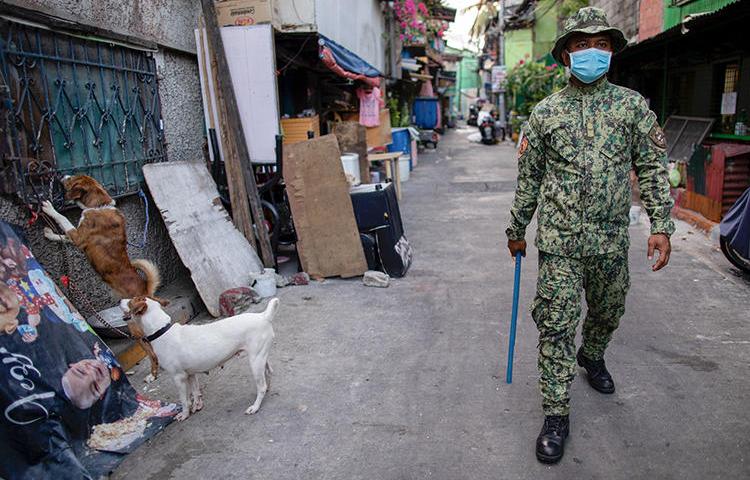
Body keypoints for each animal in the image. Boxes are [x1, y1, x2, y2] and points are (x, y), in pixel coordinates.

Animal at [41, 174, 162, 380]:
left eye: (71, 180)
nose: (61, 175)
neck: (99, 205)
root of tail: (145, 290)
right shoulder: (75, 238)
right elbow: (62, 235)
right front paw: (50, 233)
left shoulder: (79, 236)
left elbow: (63, 219)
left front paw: (49, 208)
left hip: (137, 330)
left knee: (152, 352)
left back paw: (153, 374)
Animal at [120, 296, 280, 420]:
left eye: (131, 301)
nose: (119, 300)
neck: (161, 331)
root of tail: (263, 316)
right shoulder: (190, 374)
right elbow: (195, 392)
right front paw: (197, 406)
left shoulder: (178, 377)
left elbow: (184, 400)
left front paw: (184, 415)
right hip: (260, 357)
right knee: (268, 373)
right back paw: (267, 389)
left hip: (255, 361)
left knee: (261, 385)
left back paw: (255, 406)